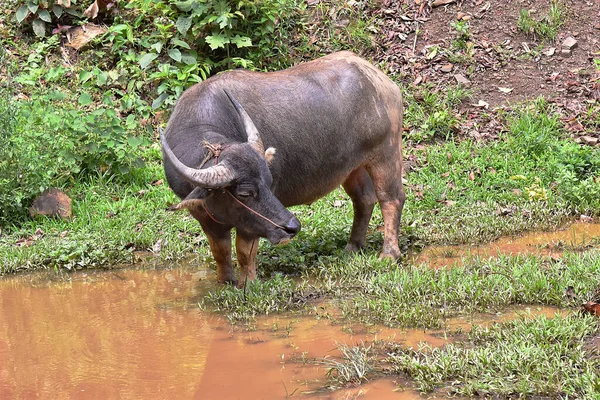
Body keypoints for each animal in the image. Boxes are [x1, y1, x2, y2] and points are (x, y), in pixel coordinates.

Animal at [159, 51, 406, 286]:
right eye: (245, 193)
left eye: (269, 184)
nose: (292, 227)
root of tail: (382, 81)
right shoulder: (204, 217)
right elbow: (220, 251)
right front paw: (224, 282)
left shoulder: (251, 223)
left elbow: (244, 251)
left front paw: (247, 283)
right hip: (353, 167)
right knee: (364, 199)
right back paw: (353, 246)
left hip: (386, 153)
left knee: (391, 199)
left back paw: (389, 254)